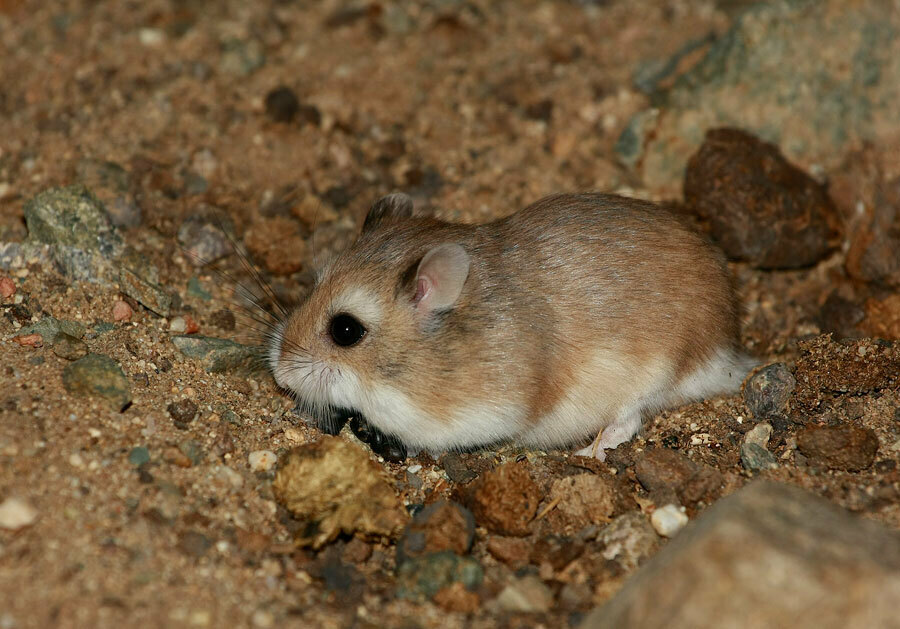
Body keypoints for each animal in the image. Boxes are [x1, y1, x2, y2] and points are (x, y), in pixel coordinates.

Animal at [268, 192, 753, 460]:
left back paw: (588, 452)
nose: (279, 372)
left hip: (647, 380)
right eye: (313, 284)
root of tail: (728, 353)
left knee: (626, 424)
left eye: (345, 331)